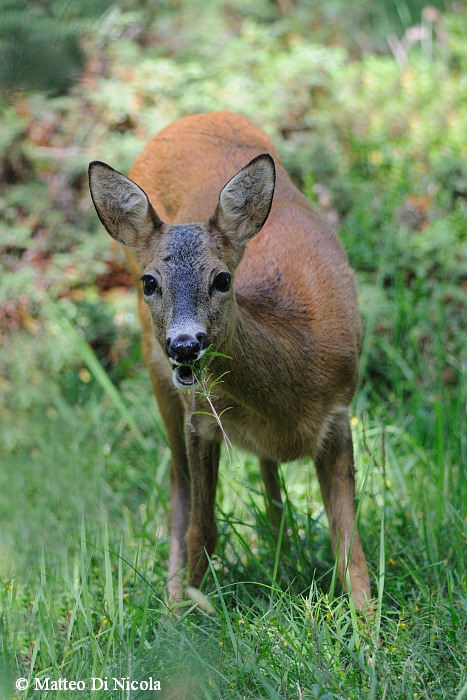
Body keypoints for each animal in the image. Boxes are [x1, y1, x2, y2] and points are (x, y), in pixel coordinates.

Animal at [88, 112, 372, 608]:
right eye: (149, 282)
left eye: (222, 278)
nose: (185, 346)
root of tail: (192, 116)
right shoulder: (200, 418)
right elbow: (201, 532)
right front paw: (181, 617)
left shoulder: (340, 412)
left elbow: (349, 546)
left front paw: (368, 627)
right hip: (153, 367)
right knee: (178, 484)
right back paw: (176, 593)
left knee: (268, 479)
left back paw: (281, 554)